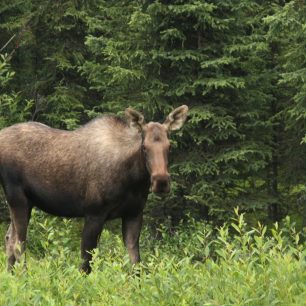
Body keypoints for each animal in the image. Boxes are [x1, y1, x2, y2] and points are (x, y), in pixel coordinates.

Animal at [0, 105, 188, 272]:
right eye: (144, 147)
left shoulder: (133, 214)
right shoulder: (94, 213)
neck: (133, 180)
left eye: (169, 146)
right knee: (18, 243)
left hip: (27, 202)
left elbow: (136, 264)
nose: (161, 181)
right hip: (17, 197)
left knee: (9, 238)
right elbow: (86, 264)